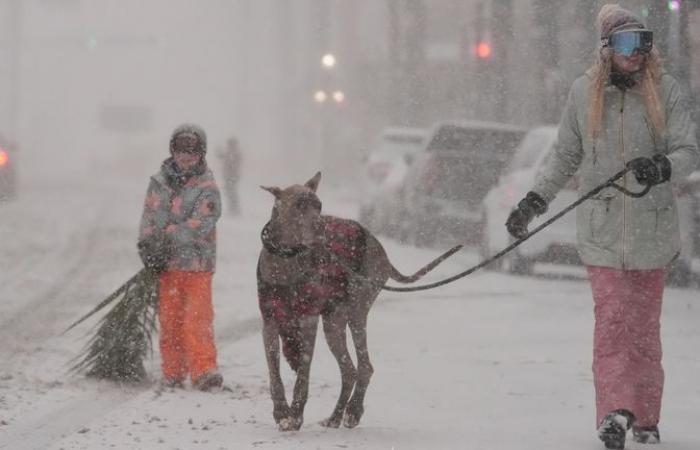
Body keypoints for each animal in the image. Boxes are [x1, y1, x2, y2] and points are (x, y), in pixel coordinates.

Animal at [258, 173, 460, 432]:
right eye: (299, 206)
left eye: (319, 205)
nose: (322, 229)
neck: (286, 259)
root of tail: (382, 250)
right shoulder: (270, 320)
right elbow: (274, 373)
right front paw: (282, 413)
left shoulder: (308, 319)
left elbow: (303, 372)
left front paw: (295, 415)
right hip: (333, 322)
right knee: (349, 370)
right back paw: (335, 416)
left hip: (357, 309)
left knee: (364, 367)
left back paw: (353, 411)